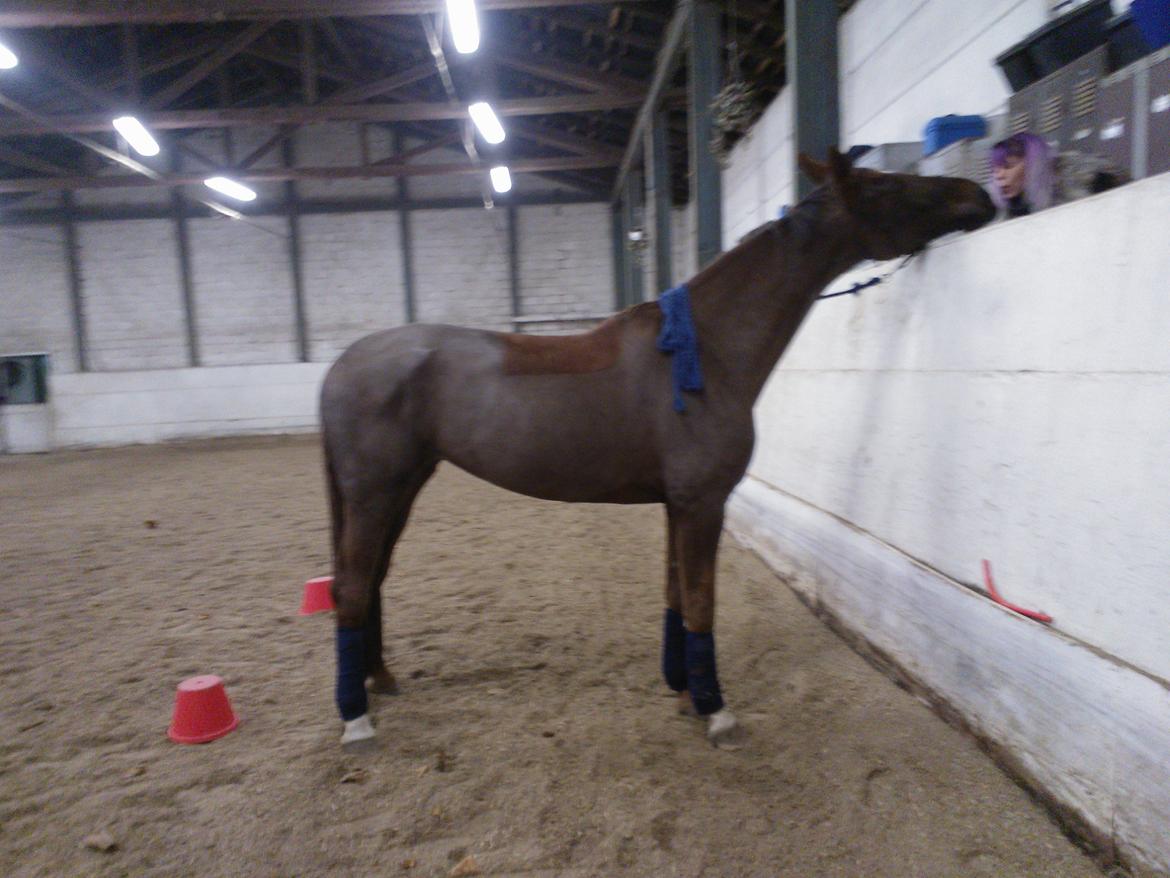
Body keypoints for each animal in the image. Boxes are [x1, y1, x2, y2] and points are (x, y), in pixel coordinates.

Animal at [319, 149, 997, 746]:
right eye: (886, 186)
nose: (979, 195)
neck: (705, 353)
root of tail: (344, 364)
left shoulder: (679, 504)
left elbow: (676, 597)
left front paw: (685, 690)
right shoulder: (702, 503)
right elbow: (701, 602)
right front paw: (717, 711)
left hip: (403, 488)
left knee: (371, 579)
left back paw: (380, 679)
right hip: (376, 493)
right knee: (351, 587)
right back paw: (356, 720)